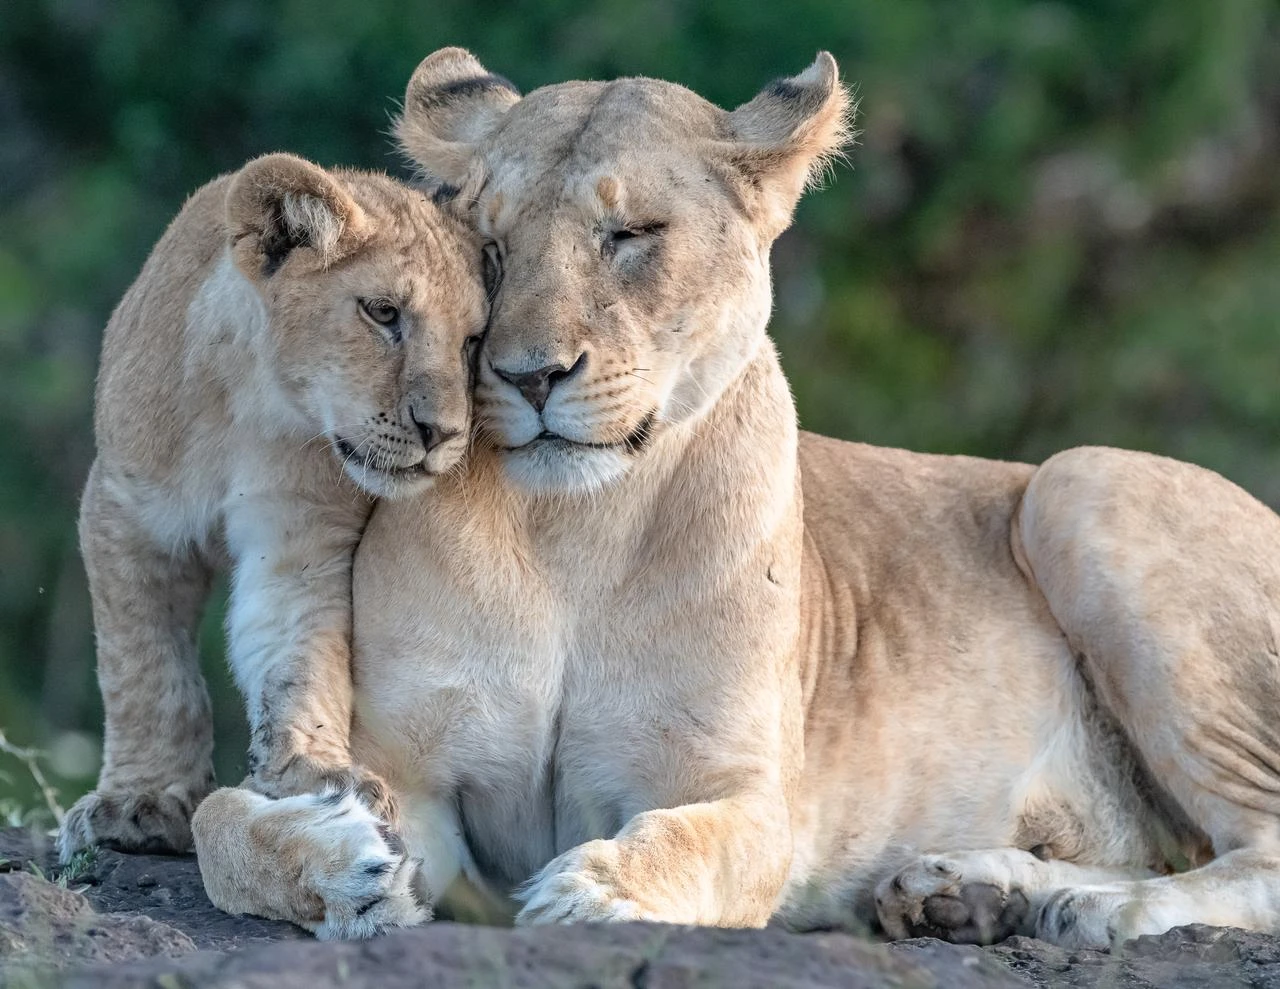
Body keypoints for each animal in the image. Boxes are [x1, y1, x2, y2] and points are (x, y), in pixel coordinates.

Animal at [57, 152, 489, 866]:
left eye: (473, 340)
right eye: (383, 312)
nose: (443, 433)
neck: (252, 407)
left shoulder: (301, 541)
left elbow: (298, 660)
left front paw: (318, 775)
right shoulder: (125, 514)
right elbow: (148, 671)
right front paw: (140, 802)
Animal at [191, 50, 1280, 948]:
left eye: (630, 234)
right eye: (489, 249)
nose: (529, 373)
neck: (571, 533)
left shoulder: (754, 800)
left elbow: (686, 843)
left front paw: (592, 891)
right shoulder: (404, 773)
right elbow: (218, 820)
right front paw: (338, 865)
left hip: (1078, 481)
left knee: (1254, 850)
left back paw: (1087, 910)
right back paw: (969, 892)